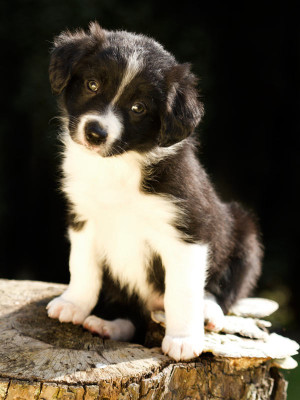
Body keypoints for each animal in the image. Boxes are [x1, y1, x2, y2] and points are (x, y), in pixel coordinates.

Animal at [45, 23, 262, 362]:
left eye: (139, 108)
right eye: (92, 84)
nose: (96, 133)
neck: (117, 166)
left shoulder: (187, 231)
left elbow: (182, 291)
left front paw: (184, 340)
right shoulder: (83, 218)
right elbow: (82, 266)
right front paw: (73, 304)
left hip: (245, 234)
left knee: (224, 289)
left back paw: (208, 311)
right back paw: (107, 324)